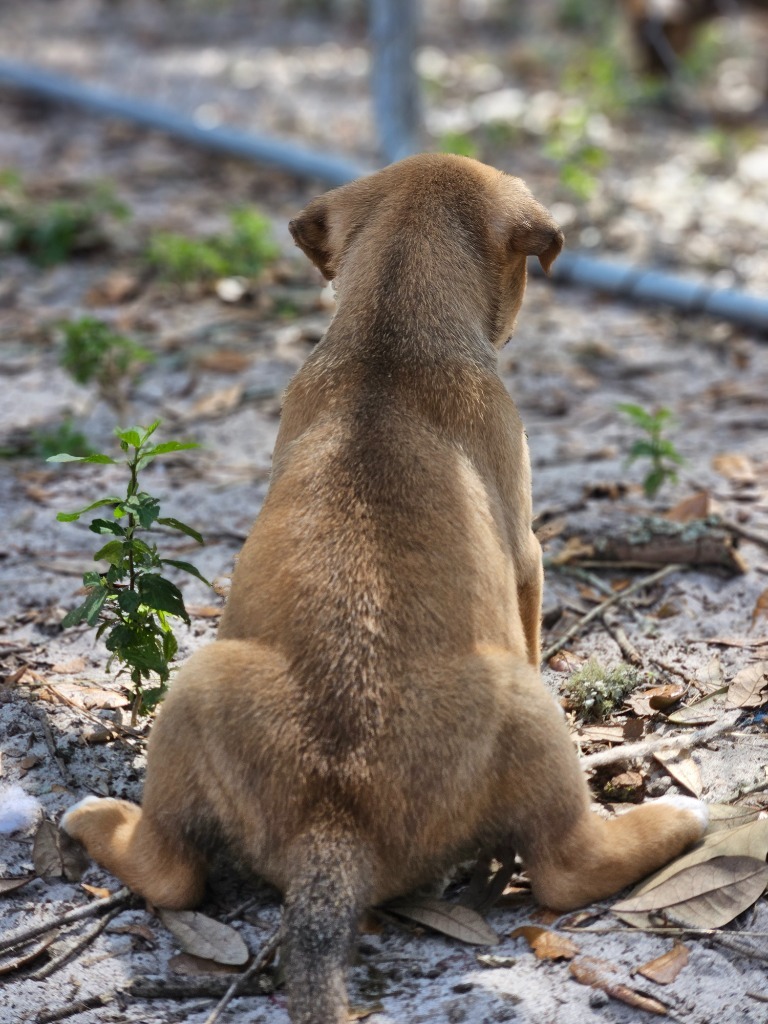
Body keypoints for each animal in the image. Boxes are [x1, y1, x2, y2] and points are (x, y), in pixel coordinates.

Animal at [64, 153, 708, 1024]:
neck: (388, 337)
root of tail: (334, 821)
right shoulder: (529, 557)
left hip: (199, 683)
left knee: (173, 874)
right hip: (520, 709)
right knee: (565, 867)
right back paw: (674, 817)